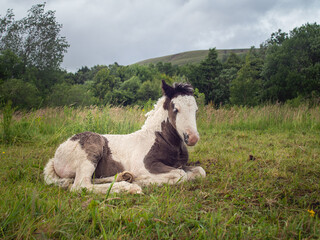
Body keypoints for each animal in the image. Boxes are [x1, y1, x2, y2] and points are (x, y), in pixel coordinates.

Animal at [43, 80, 206, 193]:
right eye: (175, 109)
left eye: (196, 110)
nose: (192, 138)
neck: (162, 139)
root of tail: (56, 156)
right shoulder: (146, 166)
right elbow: (181, 175)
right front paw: (143, 181)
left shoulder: (180, 164)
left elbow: (200, 172)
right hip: (90, 153)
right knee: (81, 185)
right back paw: (129, 187)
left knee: (91, 179)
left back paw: (125, 177)